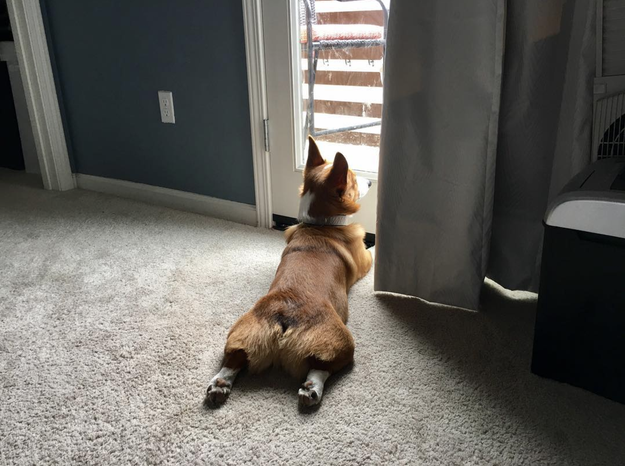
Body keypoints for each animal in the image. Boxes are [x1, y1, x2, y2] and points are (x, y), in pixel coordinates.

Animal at [206, 137, 370, 406]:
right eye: (354, 181)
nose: (370, 181)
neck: (319, 224)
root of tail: (284, 318)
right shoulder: (365, 259)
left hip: (242, 333)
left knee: (234, 358)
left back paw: (220, 385)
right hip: (343, 344)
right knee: (322, 366)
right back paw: (311, 389)